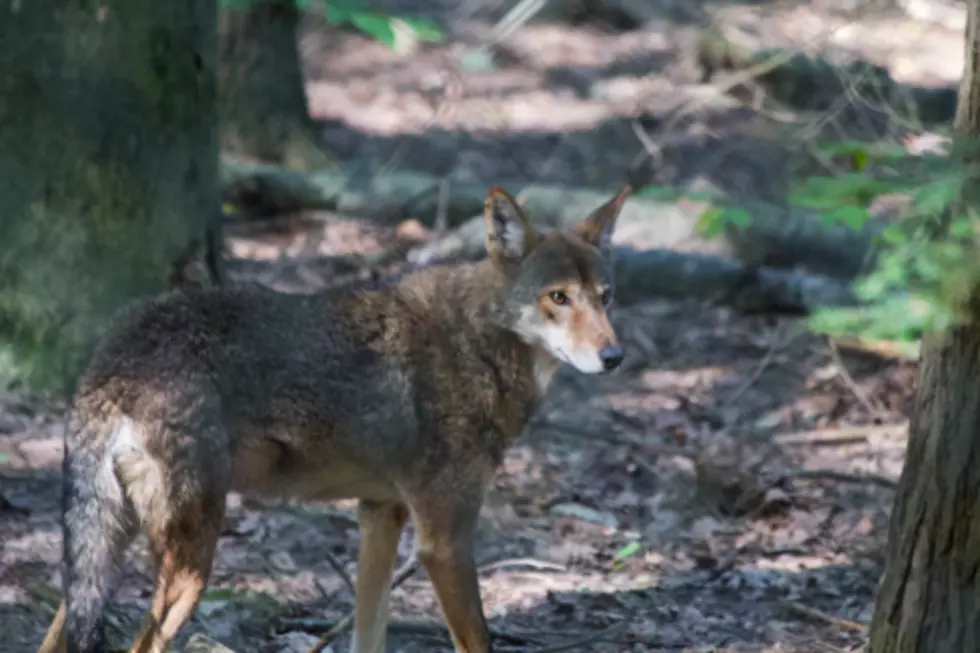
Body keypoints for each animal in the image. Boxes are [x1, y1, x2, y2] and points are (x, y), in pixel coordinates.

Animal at [38, 182, 632, 652]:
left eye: (605, 297)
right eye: (558, 297)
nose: (614, 357)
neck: (479, 344)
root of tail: (117, 351)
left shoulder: (380, 516)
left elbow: (370, 637)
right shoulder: (444, 541)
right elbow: (478, 641)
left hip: (102, 556)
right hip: (190, 562)